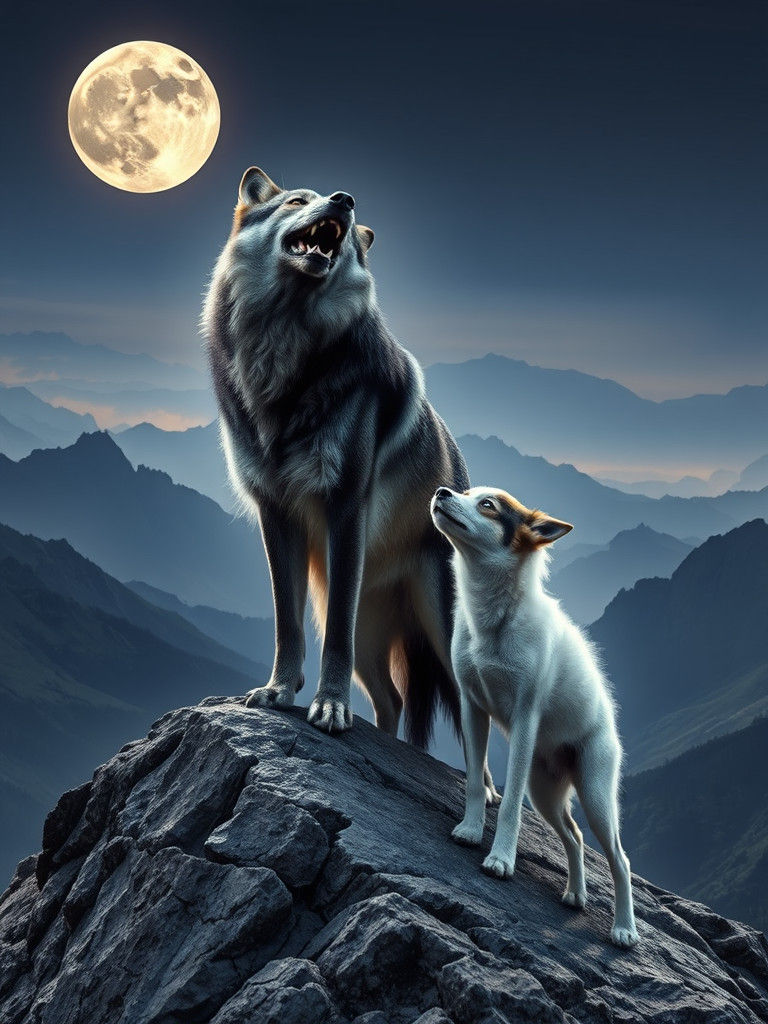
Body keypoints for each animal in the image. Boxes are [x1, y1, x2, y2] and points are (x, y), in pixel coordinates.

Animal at [202, 166, 481, 754]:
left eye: (349, 223)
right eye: (296, 201)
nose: (344, 200)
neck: (284, 349)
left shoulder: (346, 506)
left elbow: (334, 638)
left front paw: (328, 707)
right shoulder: (275, 512)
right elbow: (287, 623)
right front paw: (279, 690)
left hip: (442, 631)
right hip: (372, 635)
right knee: (393, 700)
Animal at [431, 485, 638, 948]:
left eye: (488, 505)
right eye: (467, 493)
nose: (442, 491)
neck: (495, 621)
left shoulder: (525, 720)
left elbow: (508, 805)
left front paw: (500, 860)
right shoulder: (472, 708)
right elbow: (476, 782)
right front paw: (471, 830)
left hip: (596, 793)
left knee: (620, 859)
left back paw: (624, 929)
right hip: (544, 791)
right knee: (575, 838)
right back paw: (575, 894)